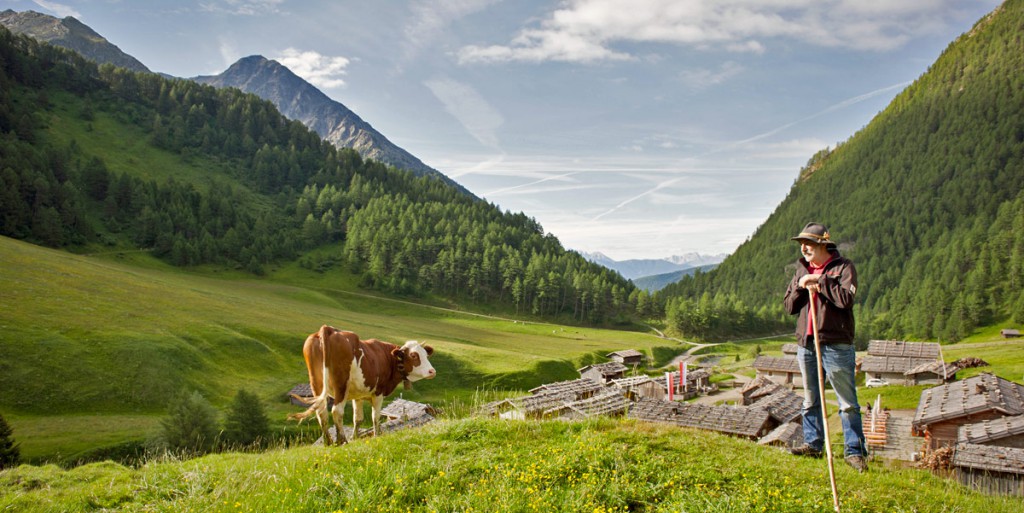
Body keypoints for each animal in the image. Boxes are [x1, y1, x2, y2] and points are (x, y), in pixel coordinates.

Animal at [290, 323, 434, 444]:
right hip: (341, 384)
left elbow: (357, 419)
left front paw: (355, 438)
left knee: (321, 412)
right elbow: (375, 416)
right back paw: (342, 441)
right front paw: (376, 435)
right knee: (336, 411)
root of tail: (328, 329)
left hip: (316, 383)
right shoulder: (378, 392)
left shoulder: (358, 396)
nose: (432, 371)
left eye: (426, 355)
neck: (387, 358)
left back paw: (328, 442)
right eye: (414, 355)